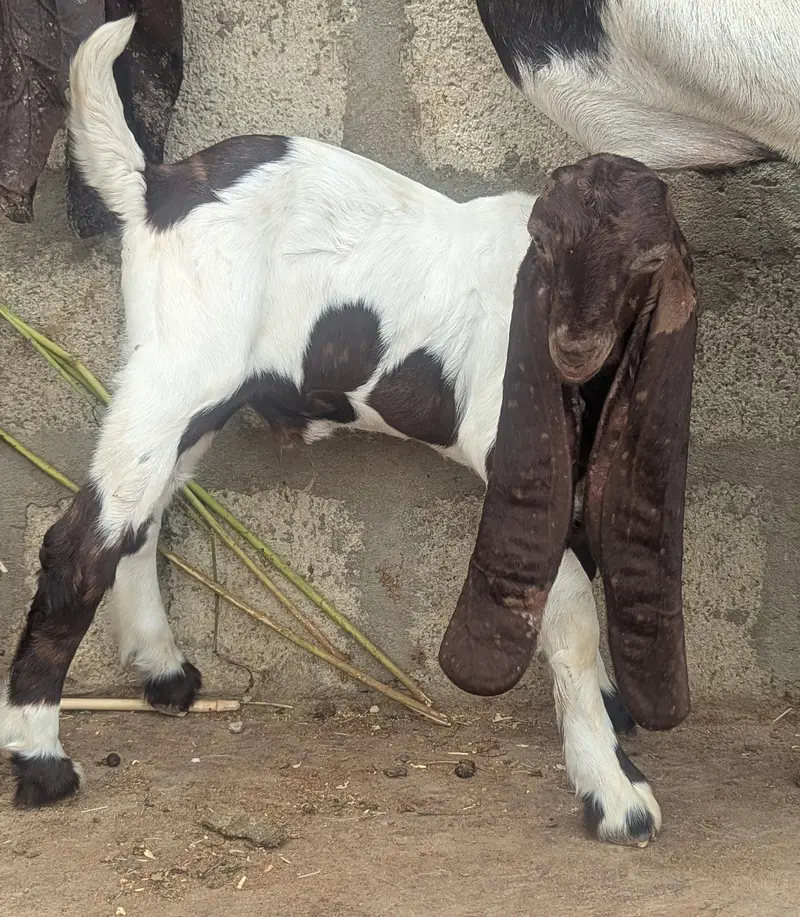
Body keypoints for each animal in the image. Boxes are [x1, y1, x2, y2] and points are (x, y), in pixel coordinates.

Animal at [0, 16, 697, 845]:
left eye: (647, 262)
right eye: (549, 249)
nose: (571, 347)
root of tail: (157, 186)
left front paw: (614, 721)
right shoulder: (525, 470)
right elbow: (570, 618)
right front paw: (613, 792)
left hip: (193, 390)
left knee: (139, 522)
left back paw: (164, 673)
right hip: (177, 370)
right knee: (79, 542)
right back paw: (42, 760)